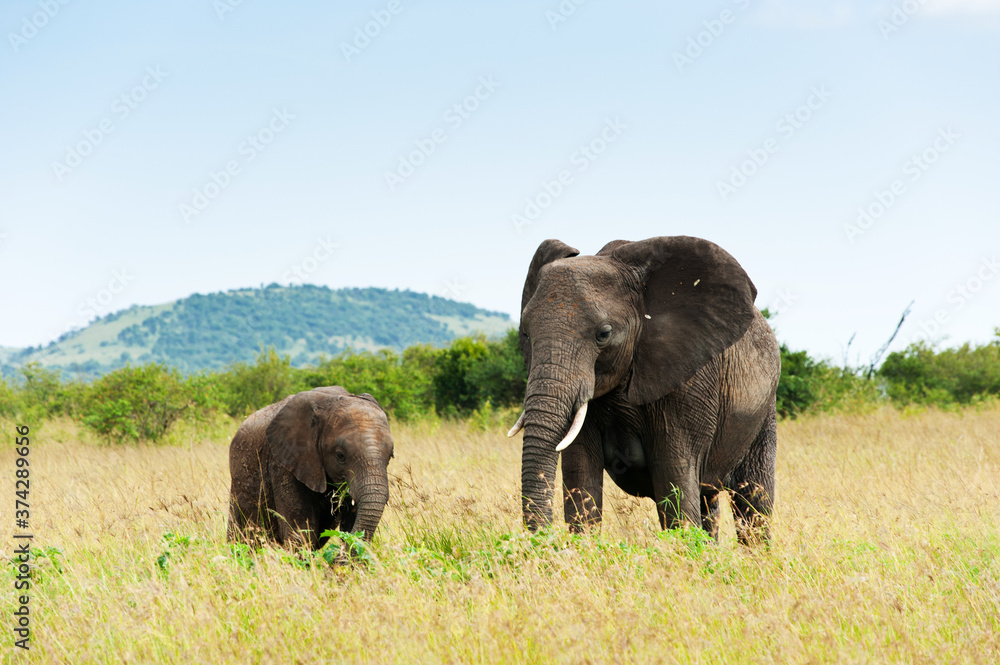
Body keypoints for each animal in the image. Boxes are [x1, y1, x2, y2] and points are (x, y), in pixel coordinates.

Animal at [508, 236, 780, 543]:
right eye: (526, 333)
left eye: (603, 334)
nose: (542, 539)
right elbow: (581, 474)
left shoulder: (690, 383)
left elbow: (674, 478)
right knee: (707, 501)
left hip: (763, 410)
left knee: (753, 501)